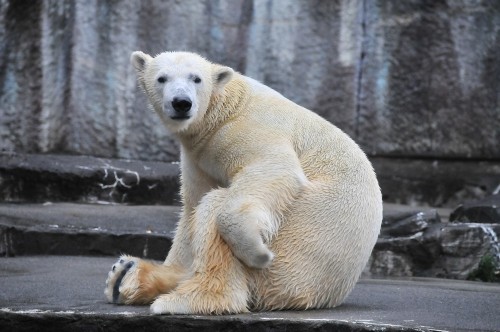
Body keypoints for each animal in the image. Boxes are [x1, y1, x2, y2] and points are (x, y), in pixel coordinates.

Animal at [103, 50, 380, 316]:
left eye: (196, 79)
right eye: (162, 78)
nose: (181, 103)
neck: (223, 107)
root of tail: (330, 293)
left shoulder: (245, 129)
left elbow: (272, 167)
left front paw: (256, 251)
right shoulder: (198, 156)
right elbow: (191, 206)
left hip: (300, 237)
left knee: (218, 205)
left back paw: (186, 299)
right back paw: (125, 276)